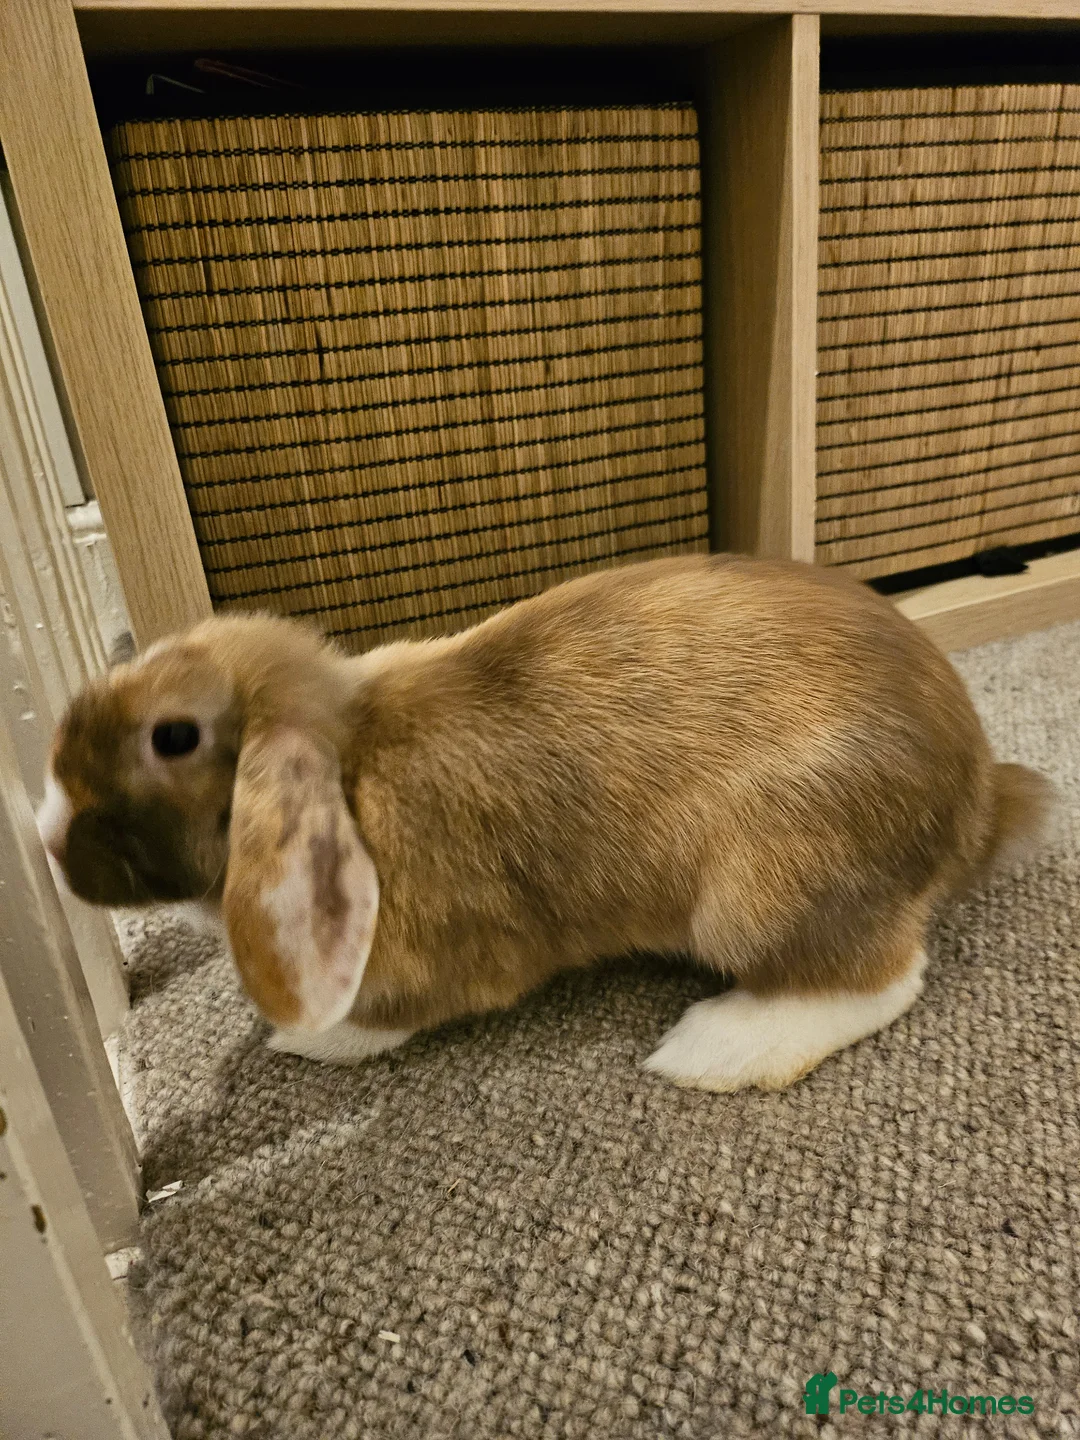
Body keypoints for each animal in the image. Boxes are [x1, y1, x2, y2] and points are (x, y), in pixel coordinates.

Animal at [39, 554, 1056, 1092]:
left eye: (172, 737)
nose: (46, 839)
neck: (351, 761)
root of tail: (976, 803)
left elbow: (388, 1019)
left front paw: (305, 1039)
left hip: (765, 891)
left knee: (881, 978)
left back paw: (711, 1049)